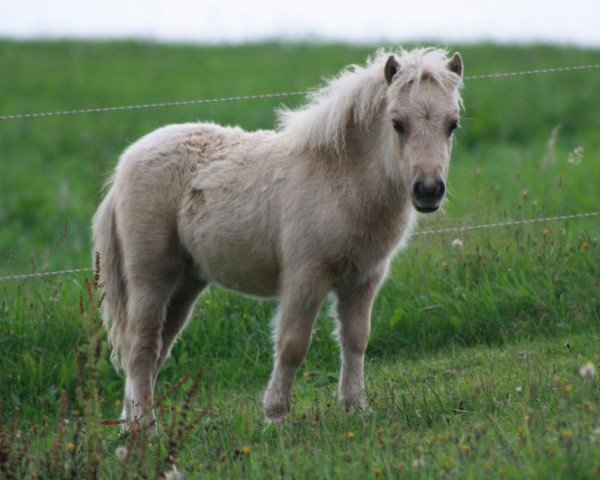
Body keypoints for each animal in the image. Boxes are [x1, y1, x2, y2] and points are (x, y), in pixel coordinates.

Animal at [91, 47, 464, 432]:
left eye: (452, 124)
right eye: (397, 123)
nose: (428, 190)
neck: (340, 179)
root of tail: (125, 164)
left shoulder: (364, 279)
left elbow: (356, 339)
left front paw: (356, 408)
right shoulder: (305, 276)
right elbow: (293, 344)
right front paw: (275, 415)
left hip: (186, 283)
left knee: (158, 349)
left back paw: (131, 423)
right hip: (150, 277)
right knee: (142, 347)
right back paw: (144, 428)